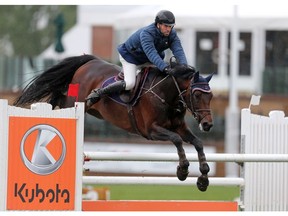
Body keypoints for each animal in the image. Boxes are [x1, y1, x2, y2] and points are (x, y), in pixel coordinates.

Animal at [14, 54, 215, 192]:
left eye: (211, 96)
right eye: (197, 95)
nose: (207, 125)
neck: (166, 94)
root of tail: (89, 62)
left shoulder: (180, 127)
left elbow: (197, 142)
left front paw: (203, 178)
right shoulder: (151, 130)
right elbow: (177, 140)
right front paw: (183, 170)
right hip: (75, 102)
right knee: (62, 103)